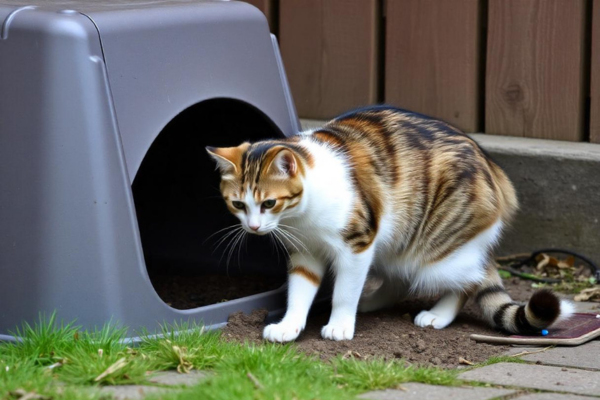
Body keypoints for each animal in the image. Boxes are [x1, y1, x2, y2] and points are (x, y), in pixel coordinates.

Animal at [206, 105, 572, 340]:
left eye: (269, 203)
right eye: (238, 204)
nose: (253, 227)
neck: (300, 217)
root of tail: (494, 169)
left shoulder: (357, 243)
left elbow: (344, 291)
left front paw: (340, 324)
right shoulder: (305, 252)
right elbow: (299, 290)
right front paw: (290, 325)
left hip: (438, 251)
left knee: (470, 280)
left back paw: (438, 314)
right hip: (396, 242)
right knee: (399, 278)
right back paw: (372, 302)